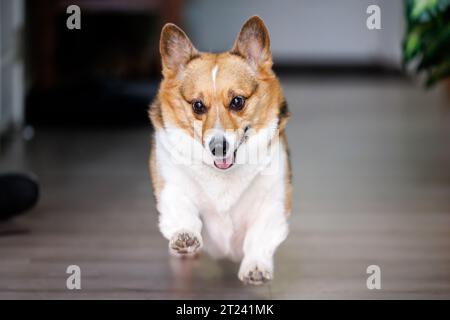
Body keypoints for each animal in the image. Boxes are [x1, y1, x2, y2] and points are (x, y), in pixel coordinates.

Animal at [150, 16, 292, 284]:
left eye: (237, 101)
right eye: (197, 105)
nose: (218, 147)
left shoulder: (273, 203)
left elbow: (259, 236)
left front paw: (255, 266)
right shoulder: (172, 186)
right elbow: (182, 210)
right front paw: (185, 235)